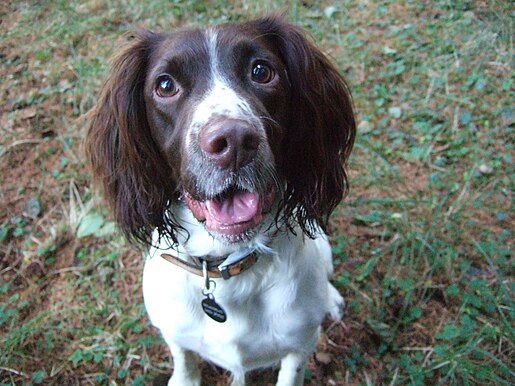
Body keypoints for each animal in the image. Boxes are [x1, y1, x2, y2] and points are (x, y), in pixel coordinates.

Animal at [86, 14, 356, 386]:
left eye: (261, 71)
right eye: (165, 85)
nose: (234, 141)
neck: (226, 268)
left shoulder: (300, 345)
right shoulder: (174, 330)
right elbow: (184, 361)